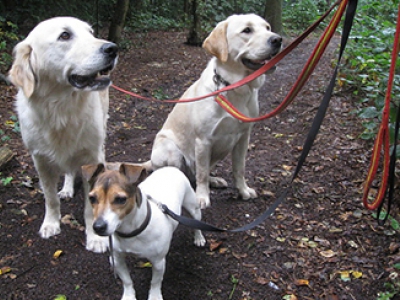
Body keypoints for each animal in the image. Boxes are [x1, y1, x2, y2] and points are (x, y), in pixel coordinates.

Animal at [8, 17, 118, 253]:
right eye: (65, 35)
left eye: (91, 33)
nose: (112, 48)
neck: (61, 110)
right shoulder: (40, 160)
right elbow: (50, 198)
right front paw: (51, 224)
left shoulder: (91, 157)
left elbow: (90, 205)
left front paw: (95, 238)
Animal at [81, 164, 206, 300]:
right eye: (92, 198)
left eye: (120, 199)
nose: (98, 227)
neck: (131, 232)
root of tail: (170, 167)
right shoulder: (118, 260)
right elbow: (127, 281)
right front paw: (129, 296)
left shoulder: (158, 262)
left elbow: (155, 282)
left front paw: (155, 296)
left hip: (193, 207)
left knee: (196, 223)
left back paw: (199, 238)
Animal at [148, 14, 282, 209]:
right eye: (247, 30)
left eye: (267, 27)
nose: (277, 40)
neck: (235, 88)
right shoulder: (203, 141)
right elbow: (202, 174)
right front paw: (202, 197)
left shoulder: (243, 137)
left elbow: (239, 168)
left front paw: (243, 191)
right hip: (171, 150)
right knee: (189, 174)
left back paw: (215, 180)